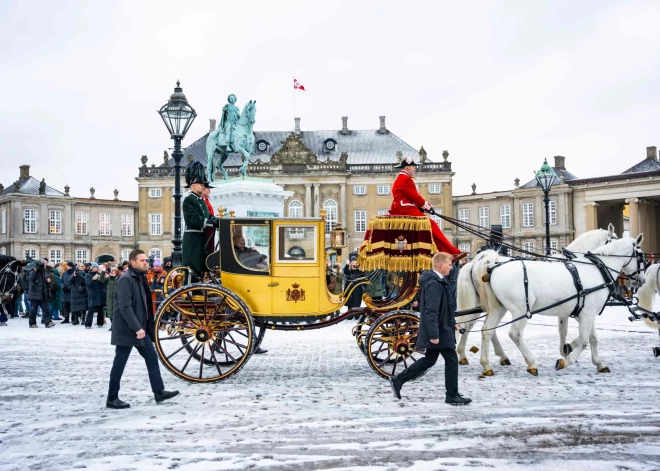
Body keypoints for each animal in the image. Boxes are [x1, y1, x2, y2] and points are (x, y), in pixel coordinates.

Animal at [456, 225, 616, 368]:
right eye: (614, 238)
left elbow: (574, 332)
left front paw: (569, 350)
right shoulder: (574, 309)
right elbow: (566, 331)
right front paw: (567, 349)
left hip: (486, 305)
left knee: (474, 326)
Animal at [476, 236, 640, 376]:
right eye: (641, 256)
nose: (640, 280)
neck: (596, 269)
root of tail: (494, 265)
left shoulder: (585, 313)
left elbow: (591, 338)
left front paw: (598, 363)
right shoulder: (586, 314)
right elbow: (584, 340)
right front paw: (565, 360)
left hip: (498, 309)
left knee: (487, 331)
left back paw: (486, 365)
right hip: (520, 311)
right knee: (515, 334)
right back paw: (532, 362)